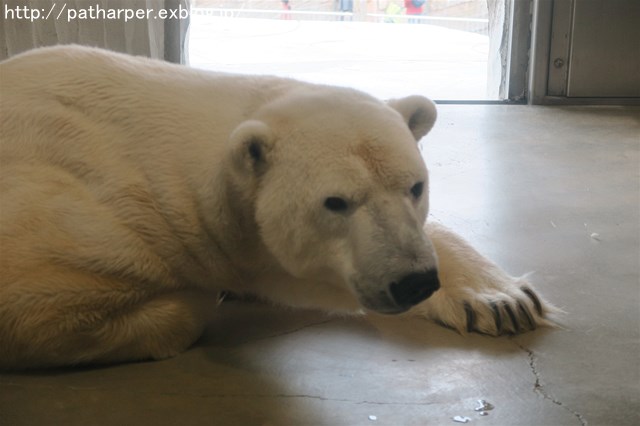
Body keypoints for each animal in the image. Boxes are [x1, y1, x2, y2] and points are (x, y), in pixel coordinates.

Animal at [0, 45, 552, 368]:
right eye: (335, 202)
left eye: (416, 187)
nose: (413, 281)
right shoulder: (75, 217)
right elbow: (37, 310)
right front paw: (204, 292)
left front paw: (500, 298)